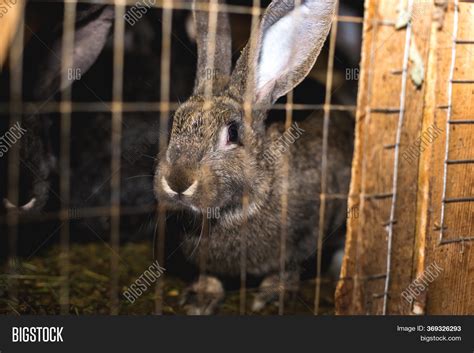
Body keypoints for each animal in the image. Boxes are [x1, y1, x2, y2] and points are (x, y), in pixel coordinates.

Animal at [154, 0, 354, 314]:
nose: (178, 182)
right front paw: (200, 300)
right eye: (175, 122)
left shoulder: (302, 239)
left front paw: (270, 298)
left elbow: (287, 270)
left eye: (233, 133)